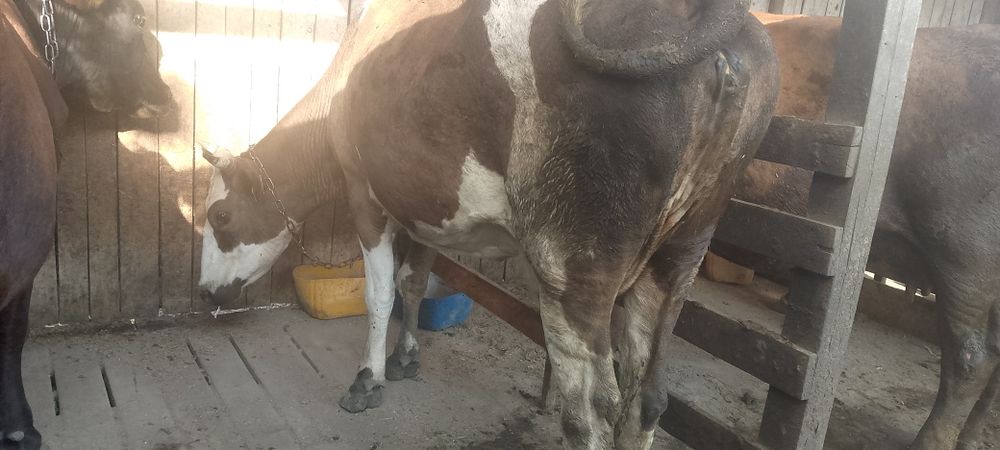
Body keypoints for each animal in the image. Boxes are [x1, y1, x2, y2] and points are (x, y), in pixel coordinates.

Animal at [196, 0, 779, 447]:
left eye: (220, 216)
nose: (203, 291)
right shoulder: (423, 205)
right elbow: (414, 280)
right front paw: (406, 357)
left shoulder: (366, 195)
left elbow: (379, 295)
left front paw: (369, 378)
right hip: (683, 249)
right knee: (650, 395)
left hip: (573, 261)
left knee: (591, 409)